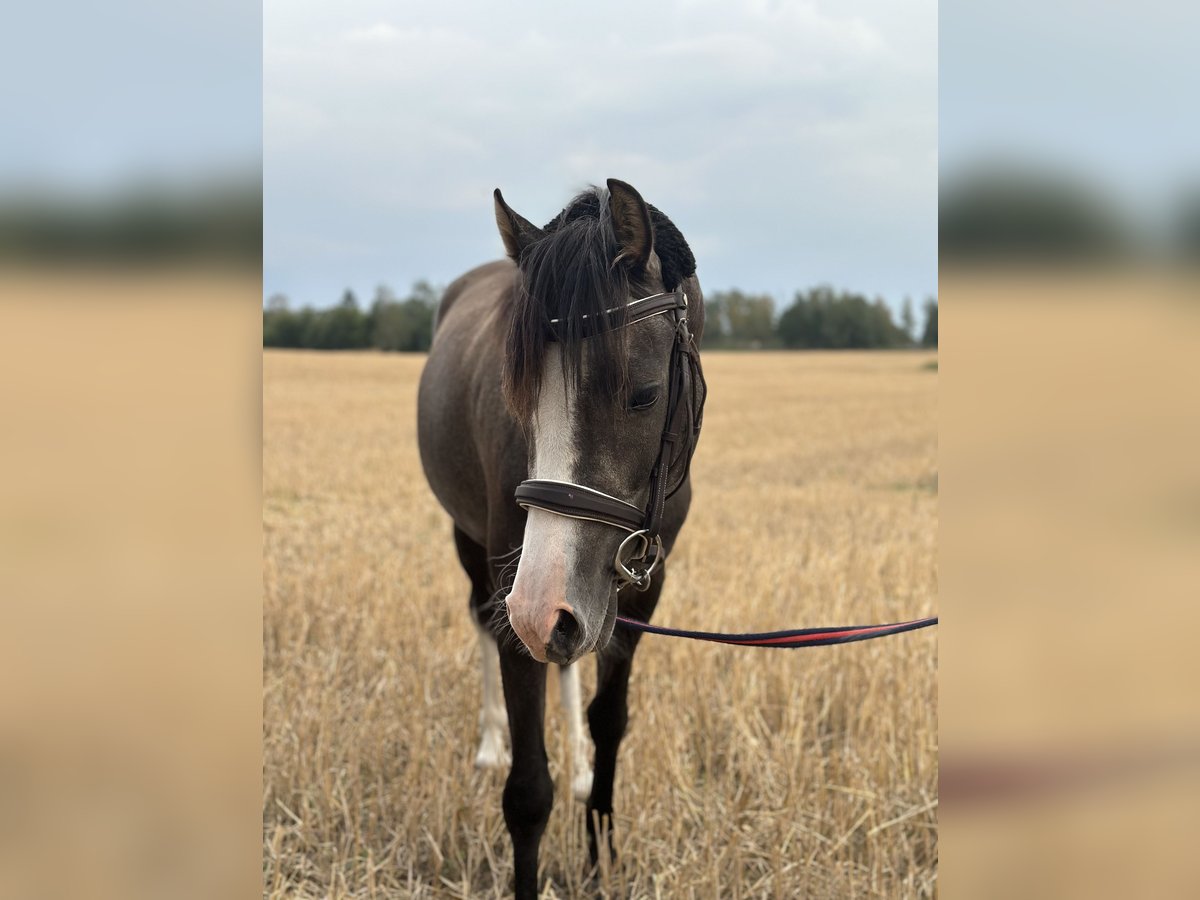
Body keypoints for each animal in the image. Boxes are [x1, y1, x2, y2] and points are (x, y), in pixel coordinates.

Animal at [420, 180, 705, 897]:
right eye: (517, 395)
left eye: (644, 393)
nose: (539, 610)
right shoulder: (515, 590)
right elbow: (527, 794)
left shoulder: (640, 587)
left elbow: (611, 720)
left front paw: (601, 854)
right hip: (478, 550)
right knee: (482, 622)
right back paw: (489, 743)